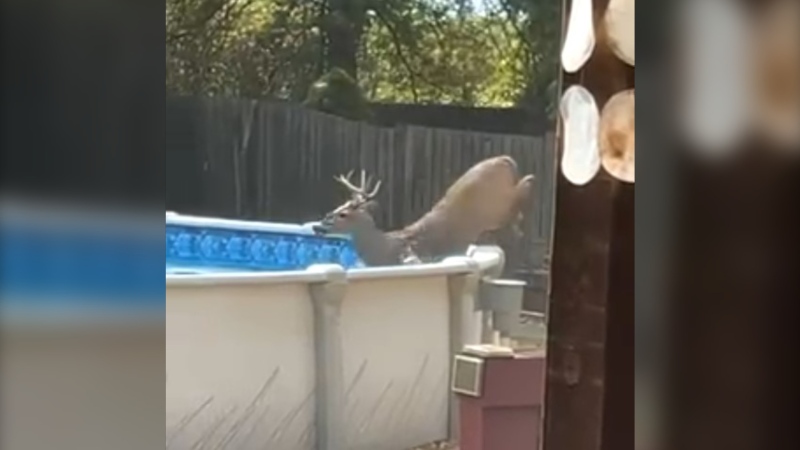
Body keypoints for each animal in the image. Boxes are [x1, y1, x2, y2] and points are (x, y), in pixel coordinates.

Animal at [310, 156, 536, 266]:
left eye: (343, 214)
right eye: (335, 208)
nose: (318, 226)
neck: (384, 250)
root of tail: (505, 159)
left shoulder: (413, 259)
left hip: (495, 207)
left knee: (520, 194)